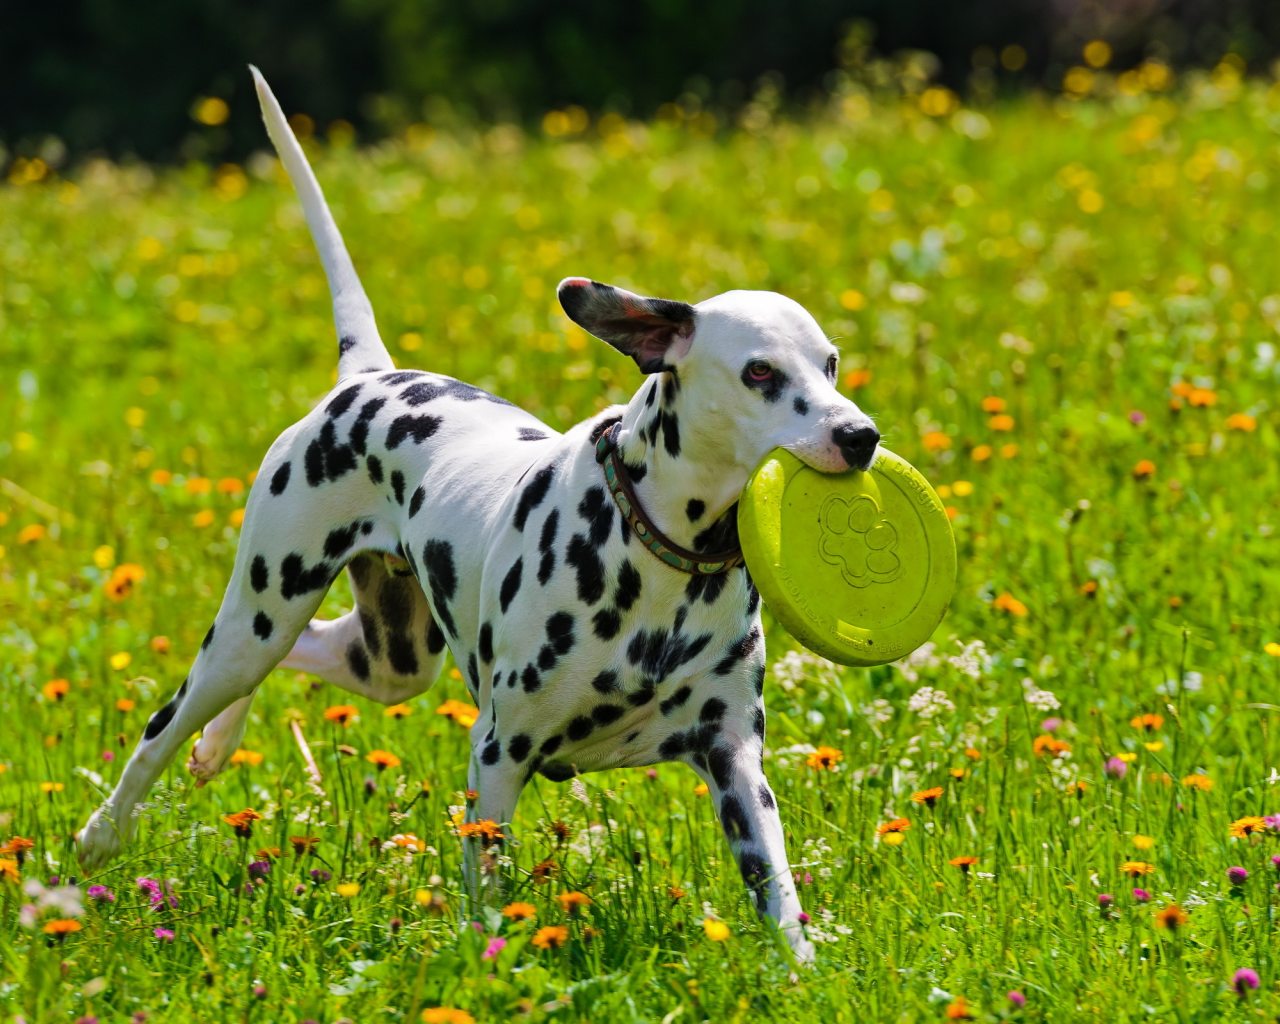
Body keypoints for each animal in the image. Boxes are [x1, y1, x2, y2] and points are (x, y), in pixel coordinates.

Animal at [77, 67, 880, 957]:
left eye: (831, 363)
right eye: (761, 373)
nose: (860, 436)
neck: (661, 559)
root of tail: (368, 375)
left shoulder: (733, 759)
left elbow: (777, 892)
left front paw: (803, 966)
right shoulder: (499, 752)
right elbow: (487, 892)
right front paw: (490, 958)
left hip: (388, 659)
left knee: (305, 652)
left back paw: (218, 746)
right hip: (255, 617)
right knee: (166, 724)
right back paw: (104, 833)